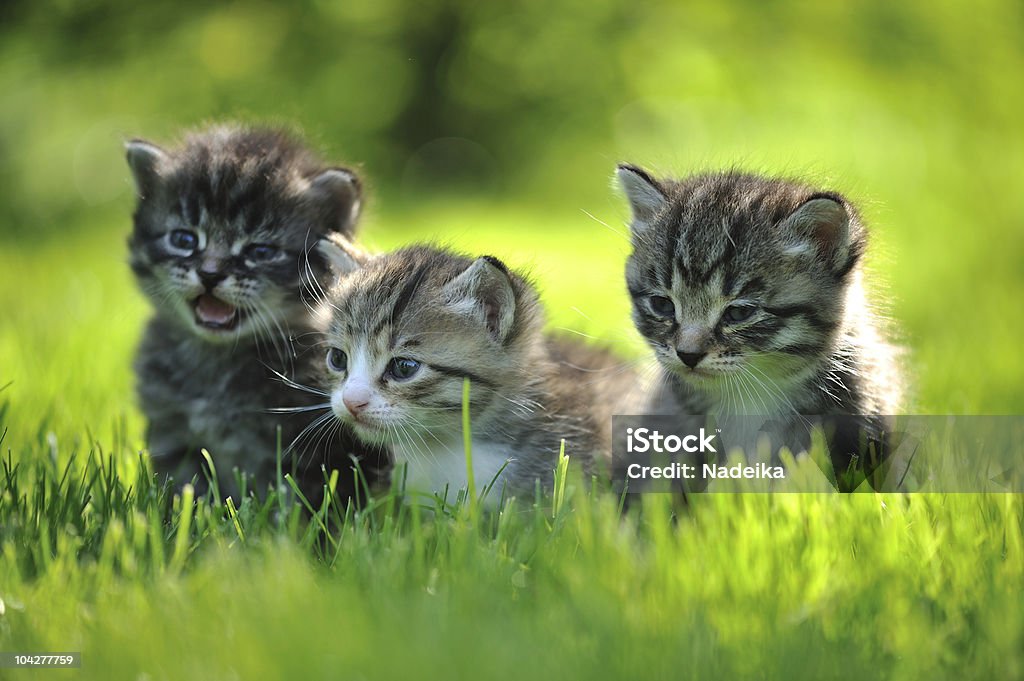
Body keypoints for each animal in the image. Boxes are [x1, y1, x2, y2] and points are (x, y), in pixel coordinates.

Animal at [123, 124, 387, 501]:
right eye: (184, 240)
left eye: (260, 251)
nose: (210, 273)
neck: (218, 359)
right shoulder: (175, 435)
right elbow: (184, 490)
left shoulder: (314, 450)